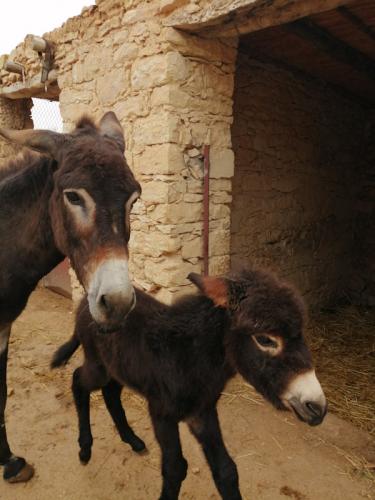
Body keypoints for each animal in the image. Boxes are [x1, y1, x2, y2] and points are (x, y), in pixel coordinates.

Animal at [53, 270, 326, 500]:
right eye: (265, 339)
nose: (318, 408)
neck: (190, 356)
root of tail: (84, 304)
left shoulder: (202, 412)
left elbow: (226, 470)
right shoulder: (162, 413)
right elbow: (175, 468)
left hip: (118, 370)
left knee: (110, 394)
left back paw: (133, 441)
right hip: (98, 366)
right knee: (78, 380)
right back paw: (85, 449)